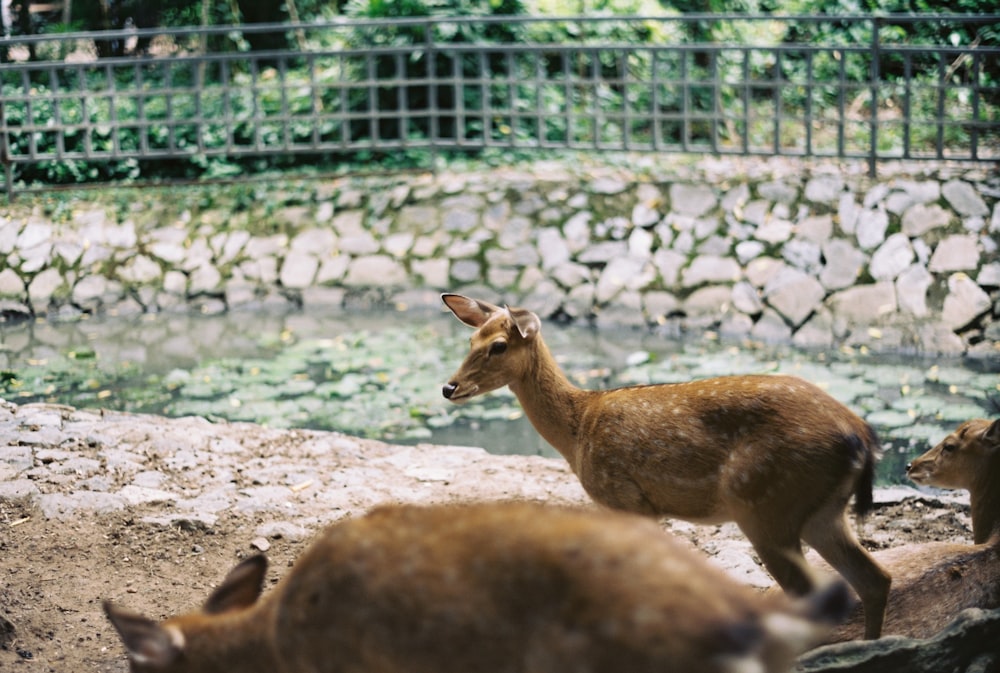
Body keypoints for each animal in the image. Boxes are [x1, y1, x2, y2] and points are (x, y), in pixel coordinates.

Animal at [440, 292, 892, 636]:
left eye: (499, 345)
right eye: (471, 339)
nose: (449, 387)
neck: (579, 428)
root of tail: (861, 435)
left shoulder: (627, 498)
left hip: (765, 503)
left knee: (811, 593)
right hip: (822, 511)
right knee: (873, 579)